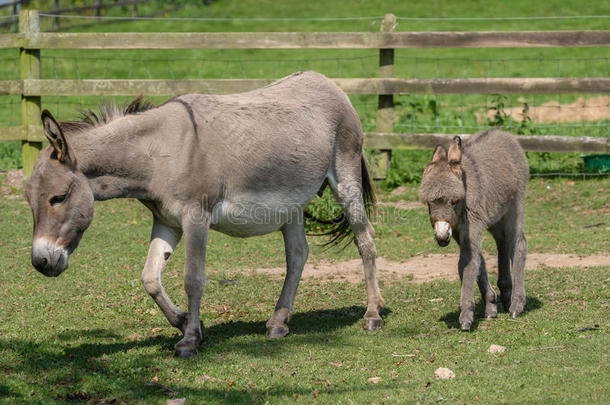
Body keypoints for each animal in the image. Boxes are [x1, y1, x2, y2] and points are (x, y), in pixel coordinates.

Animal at [418, 131, 528, 330]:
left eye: (454, 201)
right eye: (429, 203)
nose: (441, 237)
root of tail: (504, 133)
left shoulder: (472, 223)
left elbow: (467, 264)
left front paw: (466, 316)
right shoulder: (459, 230)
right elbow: (478, 261)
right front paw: (490, 306)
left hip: (514, 207)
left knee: (518, 244)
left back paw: (517, 305)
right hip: (494, 217)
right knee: (502, 242)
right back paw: (506, 294)